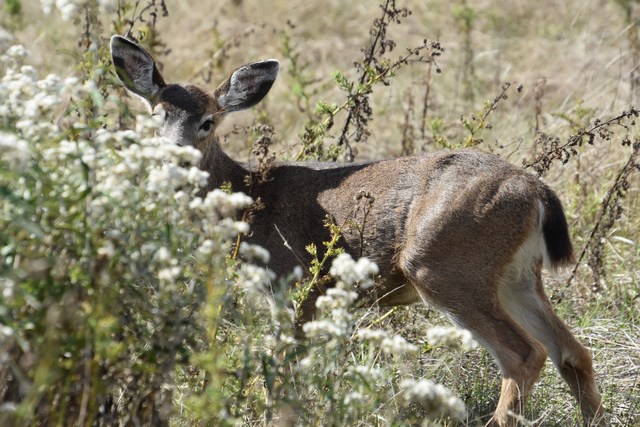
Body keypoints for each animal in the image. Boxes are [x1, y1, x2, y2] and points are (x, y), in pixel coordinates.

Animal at [109, 35, 604, 426]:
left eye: (207, 122)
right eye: (156, 115)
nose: (174, 156)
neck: (250, 199)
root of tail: (536, 190)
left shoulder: (298, 283)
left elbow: (283, 372)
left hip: (445, 264)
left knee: (525, 354)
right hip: (515, 276)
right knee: (572, 352)